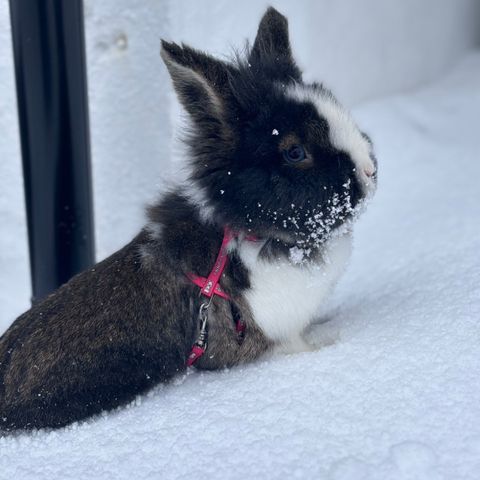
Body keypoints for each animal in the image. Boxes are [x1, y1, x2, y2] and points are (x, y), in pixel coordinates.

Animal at [0, 6, 376, 432]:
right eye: (295, 152)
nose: (369, 170)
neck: (250, 232)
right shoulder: (272, 330)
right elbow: (296, 345)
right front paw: (329, 343)